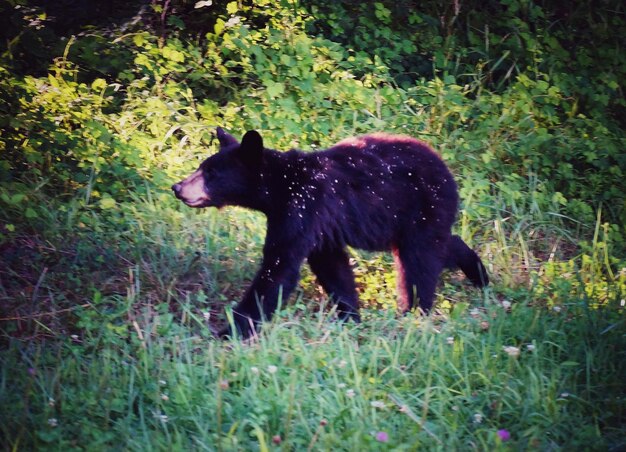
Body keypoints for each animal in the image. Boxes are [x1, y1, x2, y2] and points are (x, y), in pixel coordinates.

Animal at [172, 129, 488, 338]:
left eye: (211, 174)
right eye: (201, 167)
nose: (178, 187)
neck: (279, 186)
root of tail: (446, 169)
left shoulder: (302, 208)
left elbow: (279, 266)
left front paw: (230, 330)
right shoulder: (319, 225)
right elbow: (332, 266)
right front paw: (350, 315)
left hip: (419, 208)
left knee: (419, 262)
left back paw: (414, 311)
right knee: (439, 246)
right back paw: (479, 274)